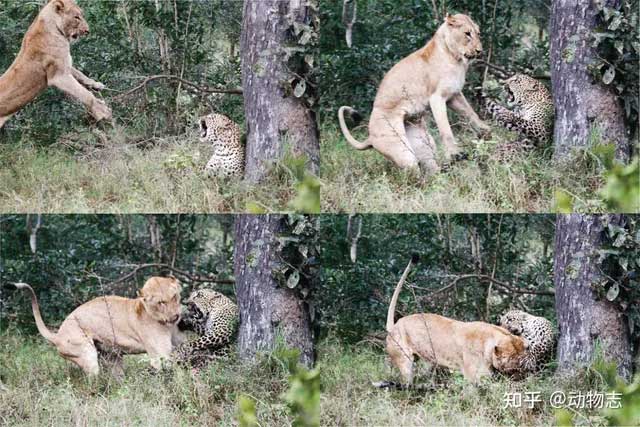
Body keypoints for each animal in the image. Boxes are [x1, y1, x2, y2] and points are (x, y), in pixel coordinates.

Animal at [0, 0, 111, 130]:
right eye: (76, 17)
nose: (87, 31)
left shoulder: (65, 63)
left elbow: (79, 73)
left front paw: (96, 85)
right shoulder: (59, 77)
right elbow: (84, 93)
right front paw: (102, 110)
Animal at [12, 276, 182, 377]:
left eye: (174, 296)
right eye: (161, 302)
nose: (176, 316)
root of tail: (58, 334)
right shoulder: (160, 356)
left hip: (112, 356)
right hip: (87, 354)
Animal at [338, 14, 491, 173]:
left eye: (478, 33)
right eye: (467, 34)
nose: (479, 51)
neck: (456, 58)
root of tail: (370, 136)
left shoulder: (454, 95)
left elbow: (471, 113)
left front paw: (486, 132)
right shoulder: (437, 97)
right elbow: (445, 129)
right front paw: (455, 154)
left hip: (424, 145)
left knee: (432, 171)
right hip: (402, 151)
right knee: (414, 173)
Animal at [382, 256, 527, 385]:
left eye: (522, 361)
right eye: (514, 363)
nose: (522, 376)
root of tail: (394, 325)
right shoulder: (472, 377)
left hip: (426, 362)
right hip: (404, 361)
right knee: (407, 383)